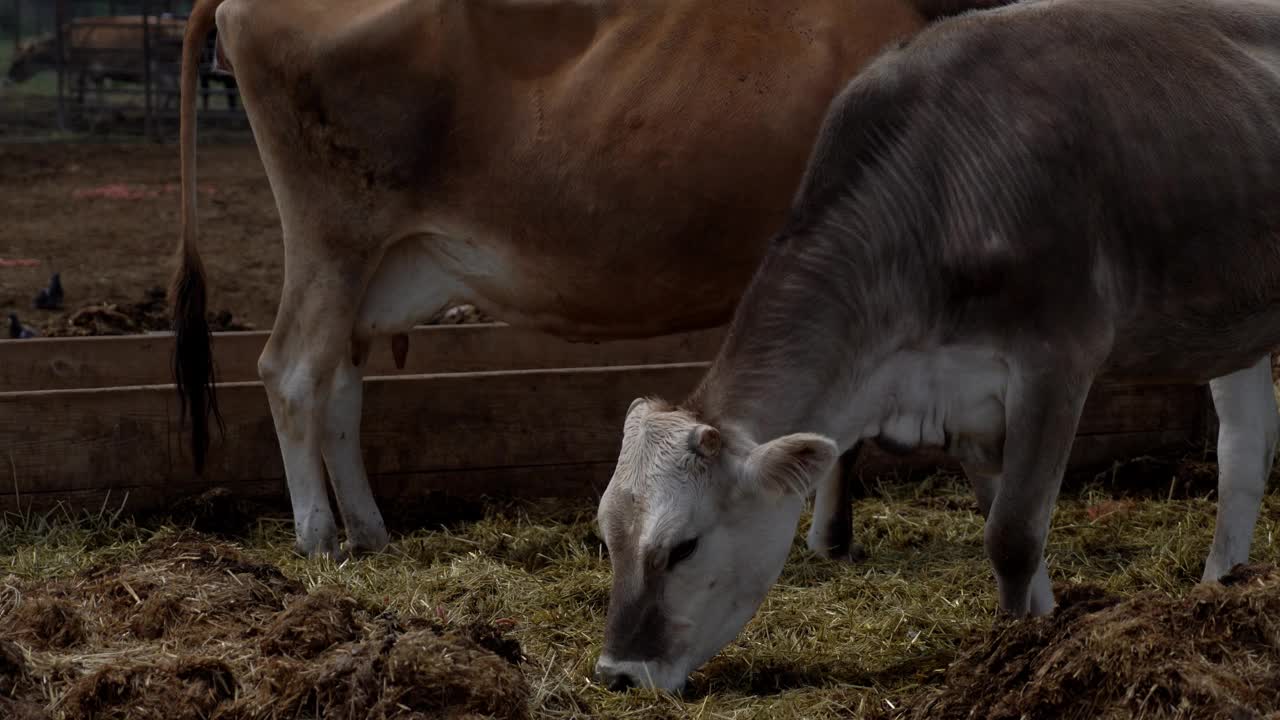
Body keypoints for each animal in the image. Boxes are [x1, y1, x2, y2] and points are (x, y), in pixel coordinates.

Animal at [175, 0, 1018, 558]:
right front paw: (829, 538)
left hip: (374, 266)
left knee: (340, 389)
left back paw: (371, 530)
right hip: (333, 240)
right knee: (291, 373)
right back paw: (319, 537)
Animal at [591, 0, 1280, 691]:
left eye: (683, 546)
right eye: (606, 536)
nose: (617, 674)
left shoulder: (1057, 359)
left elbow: (1013, 536)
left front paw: (1012, 657)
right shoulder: (966, 399)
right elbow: (1005, 527)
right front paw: (1039, 630)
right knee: (1243, 452)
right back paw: (1220, 586)